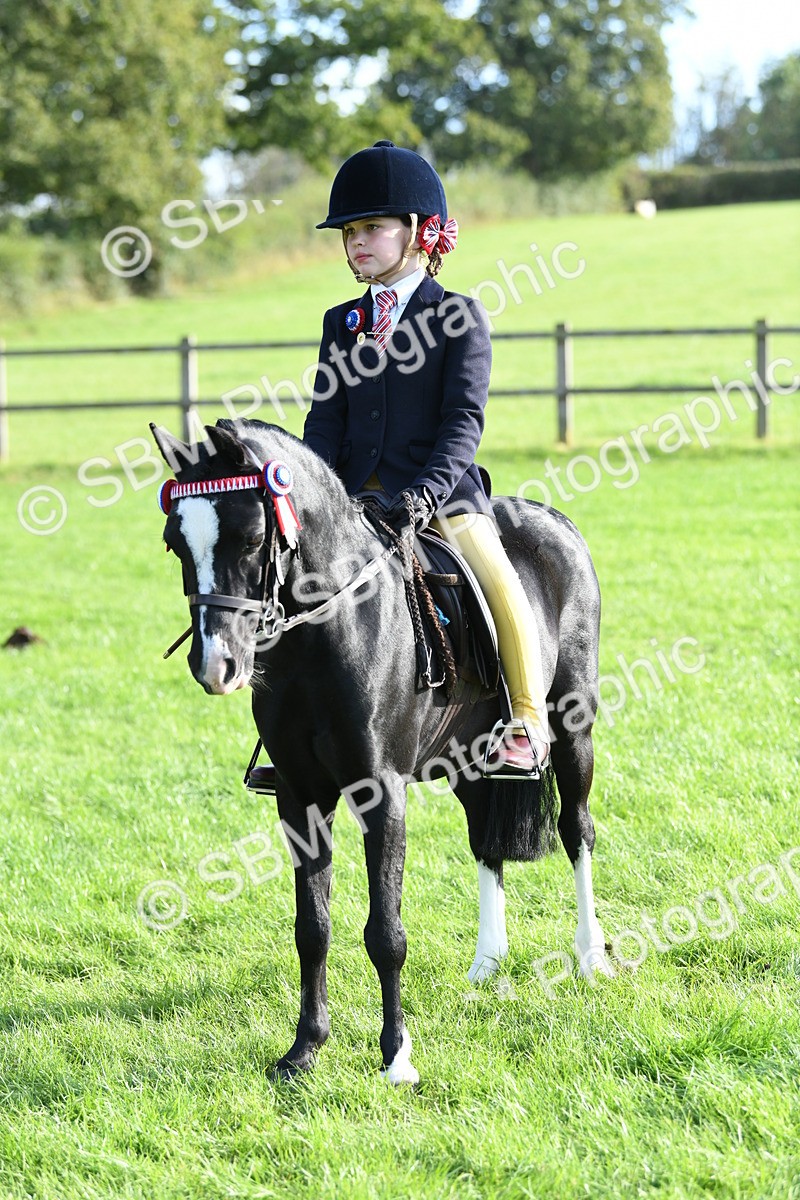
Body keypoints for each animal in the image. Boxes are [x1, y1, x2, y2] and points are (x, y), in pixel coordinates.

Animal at [151, 416, 610, 1084]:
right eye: (175, 542)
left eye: (252, 536)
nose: (217, 665)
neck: (328, 630)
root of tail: (554, 521)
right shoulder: (298, 798)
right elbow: (312, 927)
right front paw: (305, 1048)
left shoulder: (381, 795)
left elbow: (385, 932)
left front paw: (397, 1057)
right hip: (469, 760)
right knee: (486, 842)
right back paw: (487, 965)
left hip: (574, 727)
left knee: (577, 830)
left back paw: (591, 956)